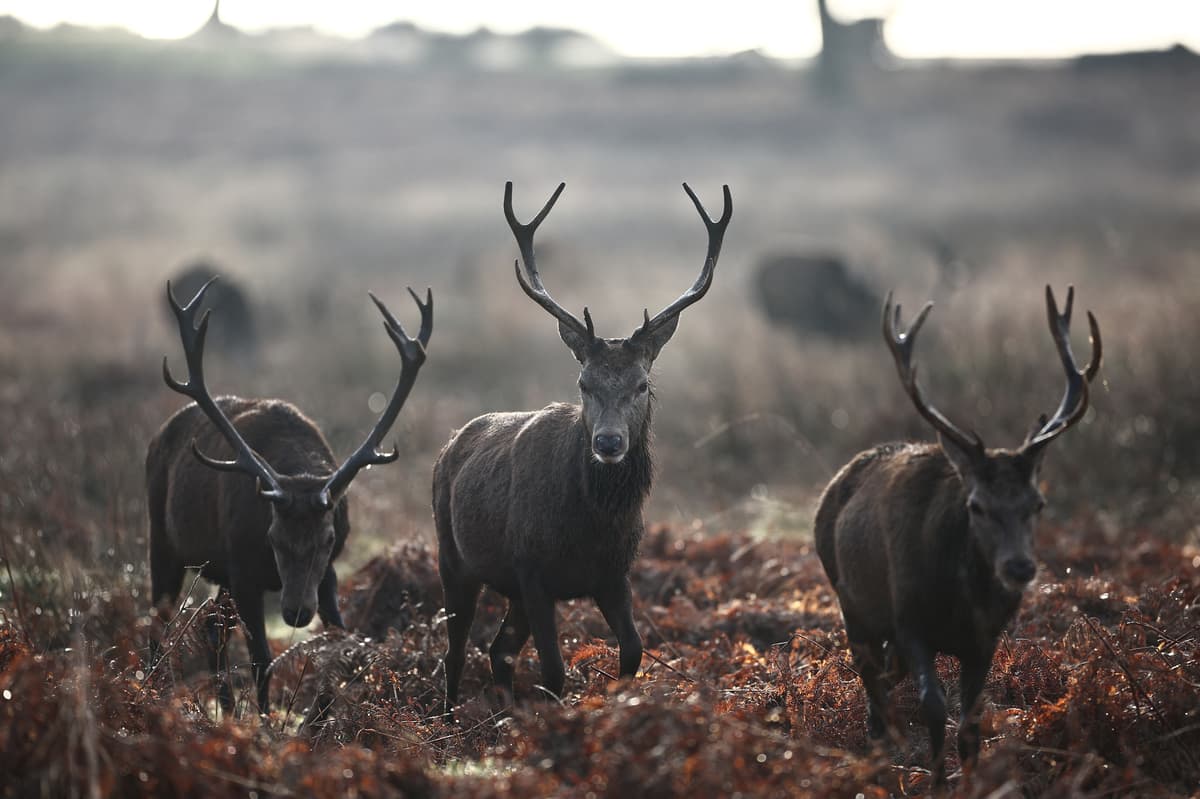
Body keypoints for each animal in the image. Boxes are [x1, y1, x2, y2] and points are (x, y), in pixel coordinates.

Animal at [147, 277, 431, 714]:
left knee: (211, 626)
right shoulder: (244, 571)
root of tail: (159, 435)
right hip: (164, 542)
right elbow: (262, 658)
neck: (298, 475)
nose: (297, 612)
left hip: (219, 571)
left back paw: (226, 709)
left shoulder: (328, 573)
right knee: (157, 626)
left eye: (329, 539)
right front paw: (266, 722)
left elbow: (340, 644)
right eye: (273, 537)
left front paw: (322, 714)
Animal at [432, 181, 732, 717]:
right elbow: (554, 671)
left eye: (641, 384)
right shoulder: (532, 570)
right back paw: (447, 718)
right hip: (453, 557)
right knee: (456, 650)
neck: (590, 526)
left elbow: (633, 651)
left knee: (498, 650)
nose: (609, 441)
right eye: (583, 382)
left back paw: (502, 717)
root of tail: (450, 445)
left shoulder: (614, 574)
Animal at [814, 285, 1101, 784]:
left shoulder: (984, 642)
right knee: (871, 679)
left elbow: (970, 722)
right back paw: (878, 753)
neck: (961, 605)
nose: (1019, 567)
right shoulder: (910, 620)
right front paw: (935, 780)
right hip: (851, 602)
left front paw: (972, 781)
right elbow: (933, 706)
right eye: (977, 505)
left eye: (1038, 504)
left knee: (883, 680)